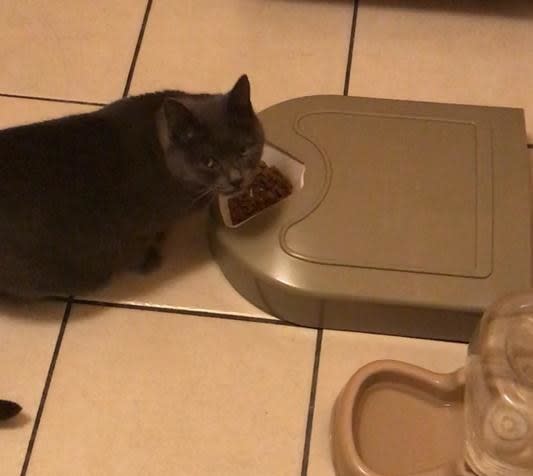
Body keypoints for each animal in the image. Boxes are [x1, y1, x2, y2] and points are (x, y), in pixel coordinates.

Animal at [0, 75, 264, 300]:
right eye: (209, 162)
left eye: (243, 150)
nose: (236, 179)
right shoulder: (129, 227)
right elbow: (132, 248)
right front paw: (149, 261)